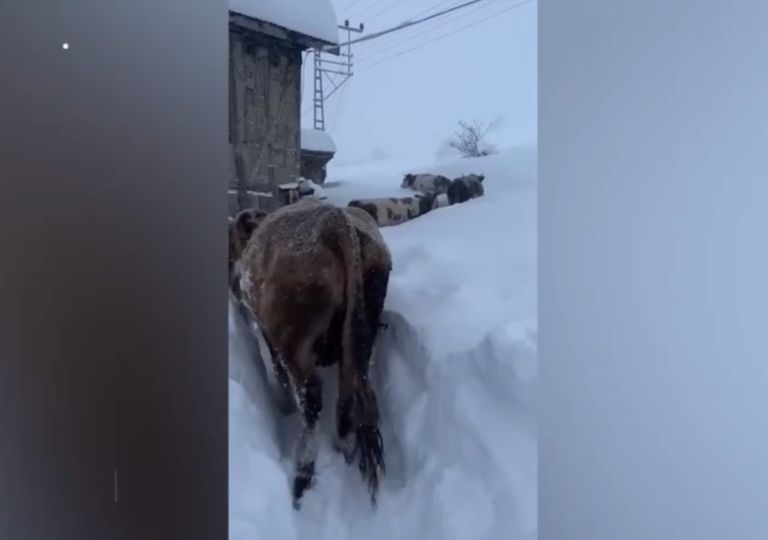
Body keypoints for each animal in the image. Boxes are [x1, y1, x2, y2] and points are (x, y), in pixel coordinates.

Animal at [230, 199, 389, 509]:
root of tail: (336, 221)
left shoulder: (263, 330)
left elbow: (273, 370)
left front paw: (282, 404)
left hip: (295, 343)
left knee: (312, 399)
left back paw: (302, 473)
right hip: (364, 335)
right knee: (348, 396)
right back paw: (344, 450)